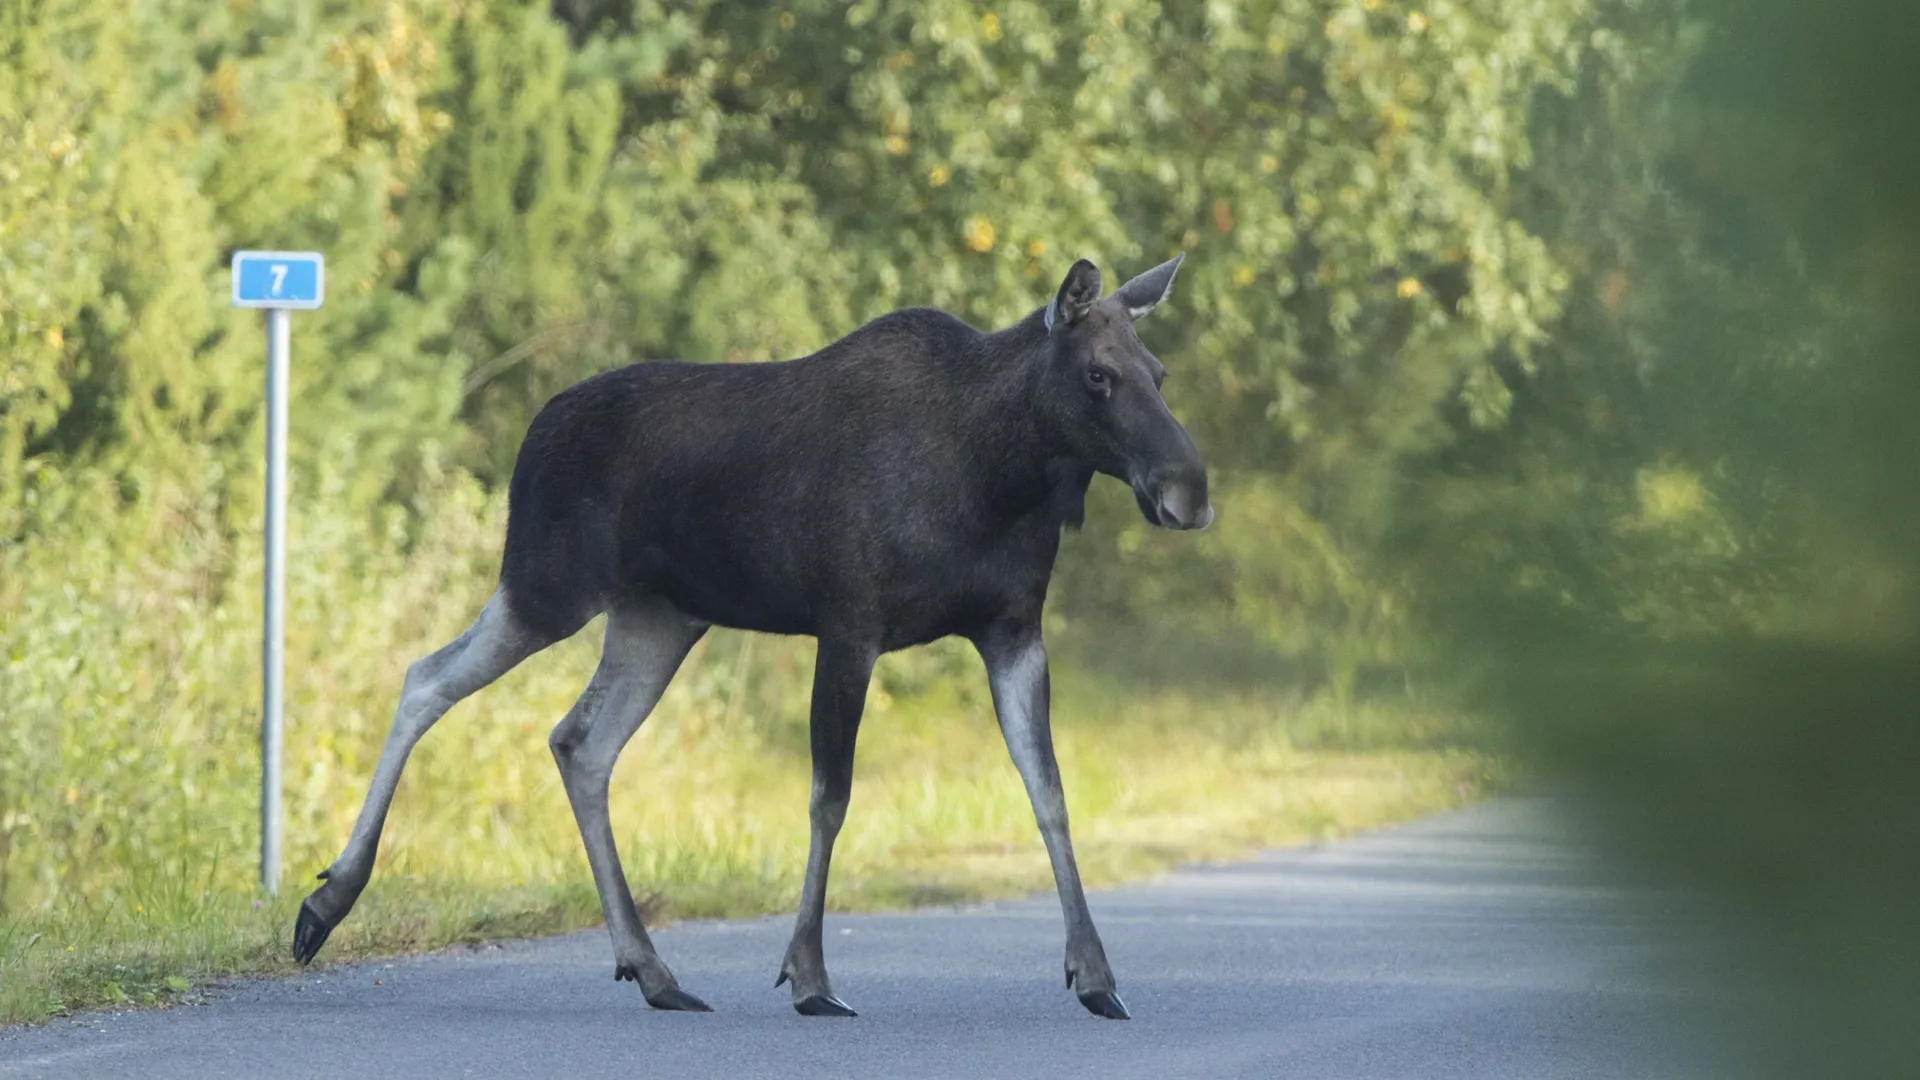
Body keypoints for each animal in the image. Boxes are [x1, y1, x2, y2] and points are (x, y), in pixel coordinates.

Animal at [289, 253, 1205, 1014]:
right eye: (1098, 375)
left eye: (1159, 373)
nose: (1188, 489)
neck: (998, 473)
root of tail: (530, 434)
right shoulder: (849, 623)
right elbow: (829, 798)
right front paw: (809, 975)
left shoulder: (1013, 628)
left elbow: (1048, 789)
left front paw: (1095, 973)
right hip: (546, 587)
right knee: (426, 677)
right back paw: (326, 902)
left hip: (657, 619)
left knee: (579, 741)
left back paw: (651, 968)